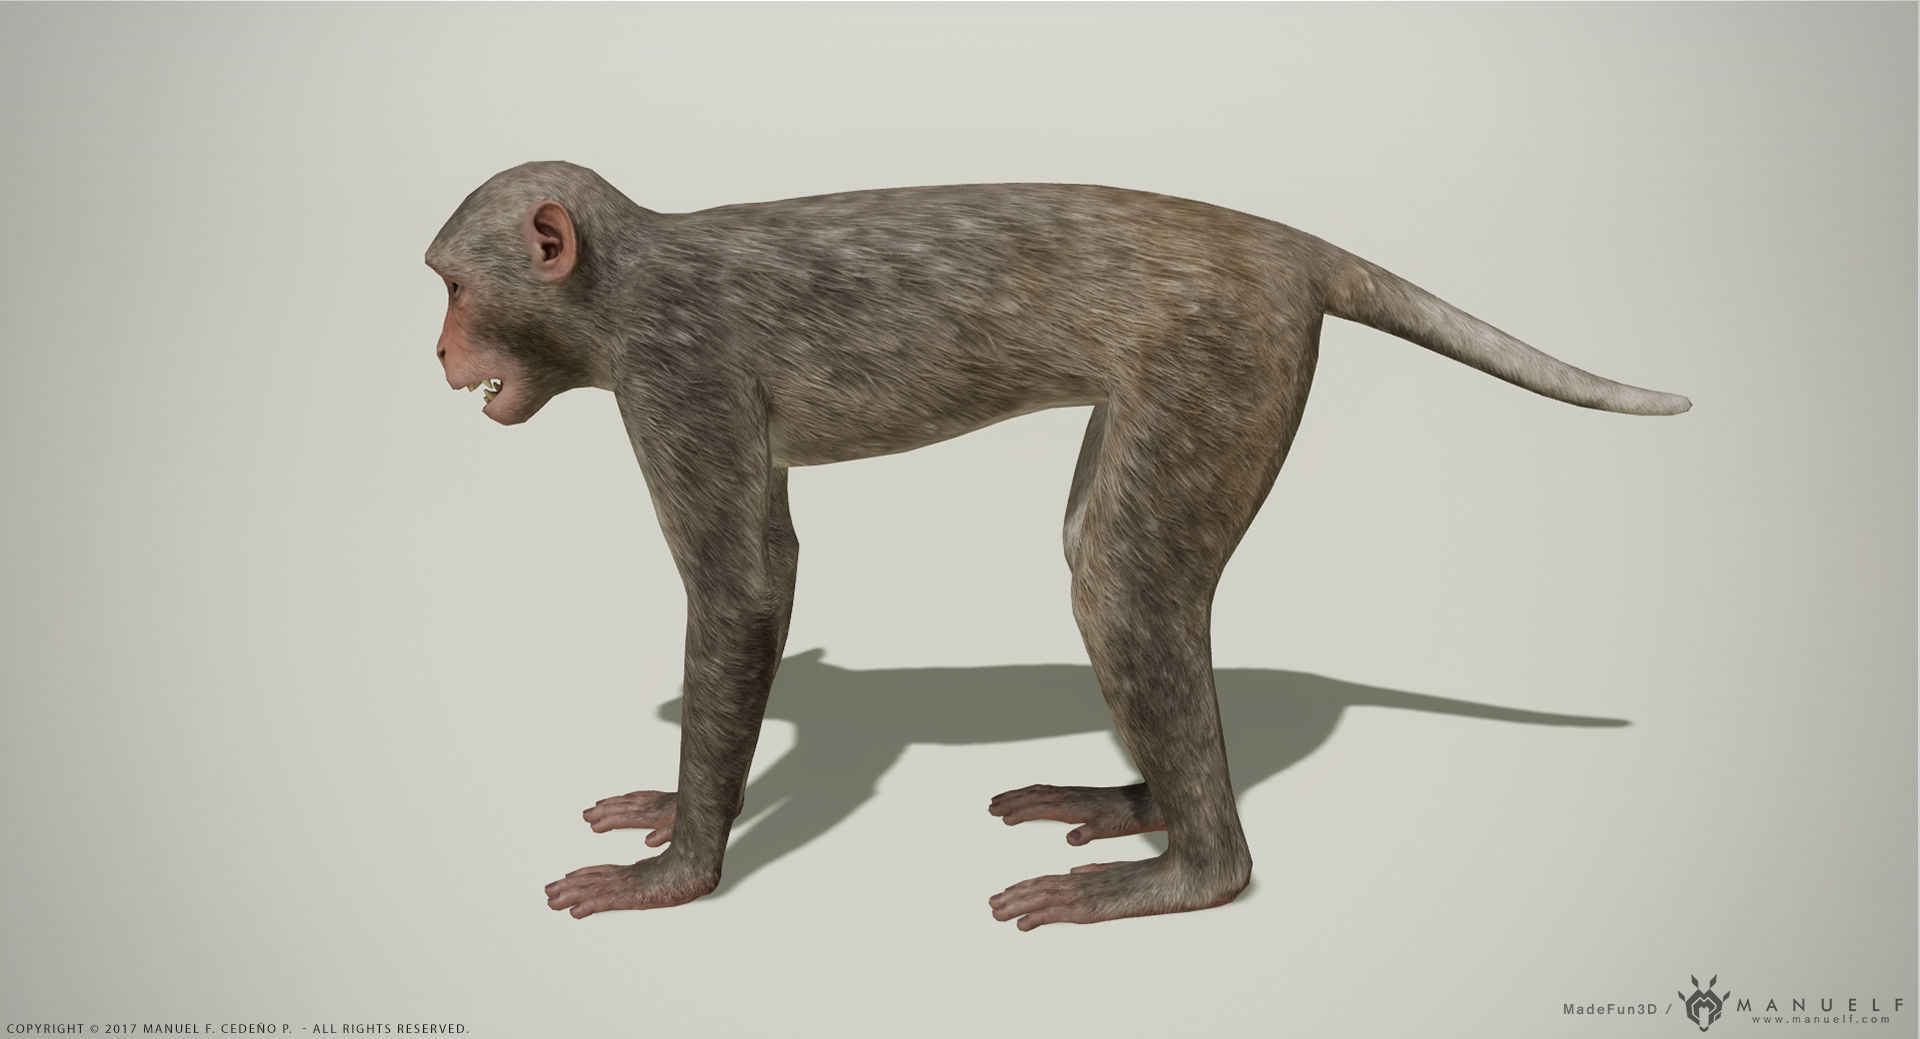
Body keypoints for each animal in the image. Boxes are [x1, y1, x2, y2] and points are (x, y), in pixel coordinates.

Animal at [424, 161, 1689, 930]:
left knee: (1119, 580)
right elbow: (766, 574)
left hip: (1227, 348)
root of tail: (1278, 241)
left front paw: (679, 868)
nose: (437, 352)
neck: (624, 280)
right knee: (1103, 553)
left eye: (452, 289)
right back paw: (1145, 803)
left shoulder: (674, 373)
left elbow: (739, 591)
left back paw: (1192, 869)